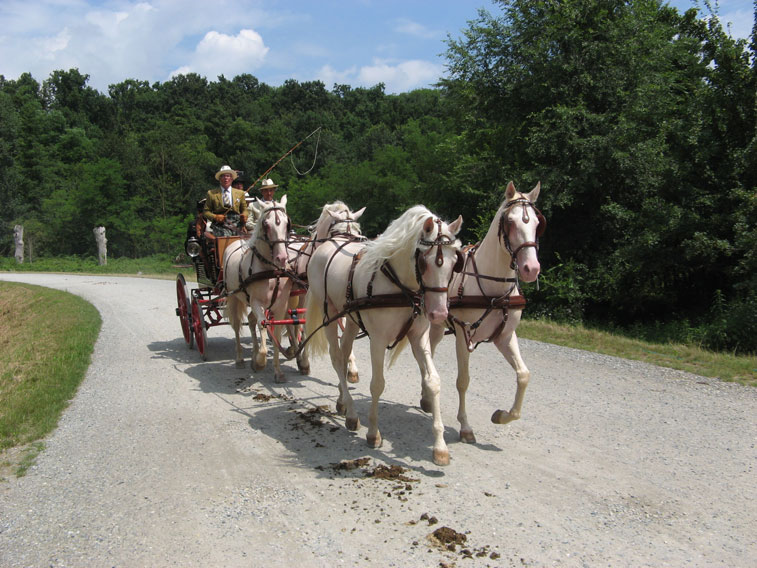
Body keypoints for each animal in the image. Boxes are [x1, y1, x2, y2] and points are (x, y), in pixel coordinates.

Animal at [220, 195, 296, 382]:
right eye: (266, 224)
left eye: (287, 223)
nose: (282, 257)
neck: (271, 270)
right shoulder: (256, 302)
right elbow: (263, 325)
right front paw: (260, 361)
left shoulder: (281, 305)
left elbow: (275, 333)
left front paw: (277, 371)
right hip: (234, 297)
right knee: (237, 325)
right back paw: (240, 359)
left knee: (251, 321)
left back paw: (253, 354)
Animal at [306, 206, 460, 464]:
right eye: (425, 261)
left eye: (454, 262)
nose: (439, 313)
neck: (398, 285)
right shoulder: (377, 341)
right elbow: (377, 385)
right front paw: (373, 433)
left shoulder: (419, 337)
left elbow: (433, 381)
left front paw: (440, 446)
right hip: (331, 314)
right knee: (337, 358)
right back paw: (352, 414)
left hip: (351, 319)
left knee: (345, 354)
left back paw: (343, 402)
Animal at [432, 182, 544, 444]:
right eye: (510, 222)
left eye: (537, 222)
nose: (531, 268)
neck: (493, 287)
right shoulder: (464, 335)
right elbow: (463, 381)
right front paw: (465, 426)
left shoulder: (505, 336)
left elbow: (523, 375)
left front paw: (503, 415)